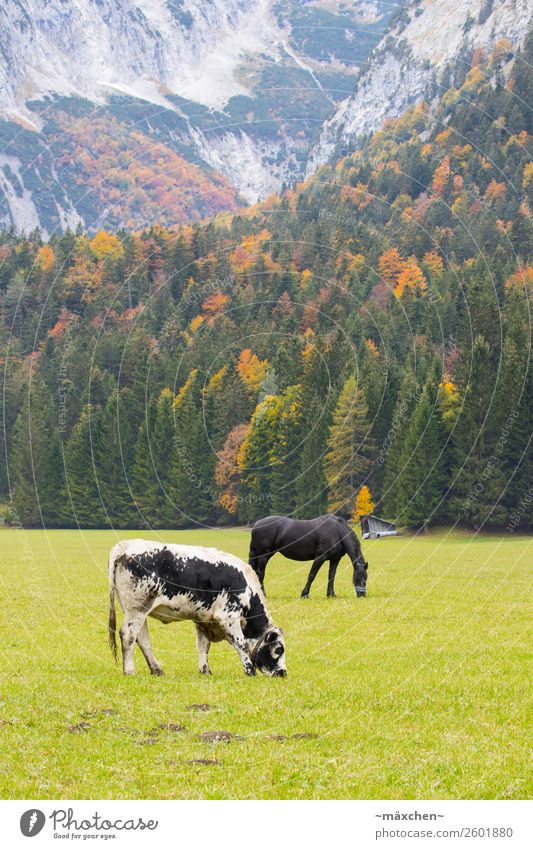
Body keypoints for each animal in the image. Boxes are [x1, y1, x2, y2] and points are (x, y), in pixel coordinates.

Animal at [107, 540, 286, 680]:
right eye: (279, 649)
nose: (283, 673)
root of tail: (125, 546)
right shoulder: (228, 617)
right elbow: (240, 644)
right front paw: (250, 671)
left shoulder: (203, 619)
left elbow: (203, 646)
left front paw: (205, 671)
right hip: (137, 608)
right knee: (128, 635)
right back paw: (129, 670)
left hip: (138, 611)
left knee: (142, 639)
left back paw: (157, 669)